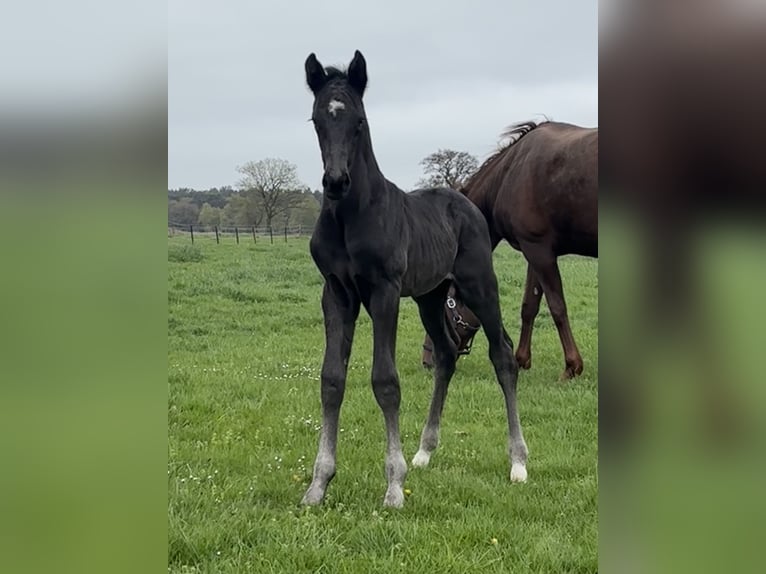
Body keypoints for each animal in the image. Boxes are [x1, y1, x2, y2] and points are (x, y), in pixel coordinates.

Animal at [301, 50, 528, 508]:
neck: (350, 216)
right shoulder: (336, 293)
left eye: (359, 121)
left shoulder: (384, 292)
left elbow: (385, 381)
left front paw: (393, 485)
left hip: (479, 285)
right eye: (317, 120)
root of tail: (466, 201)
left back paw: (517, 462)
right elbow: (332, 379)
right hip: (430, 297)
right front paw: (319, 483)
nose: (335, 182)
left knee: (502, 355)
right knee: (445, 355)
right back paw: (424, 451)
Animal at [460, 121, 598, 380]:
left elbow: (557, 307)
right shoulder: (535, 252)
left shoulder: (538, 252)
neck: (510, 173)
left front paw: (571, 366)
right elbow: (529, 307)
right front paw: (521, 359)